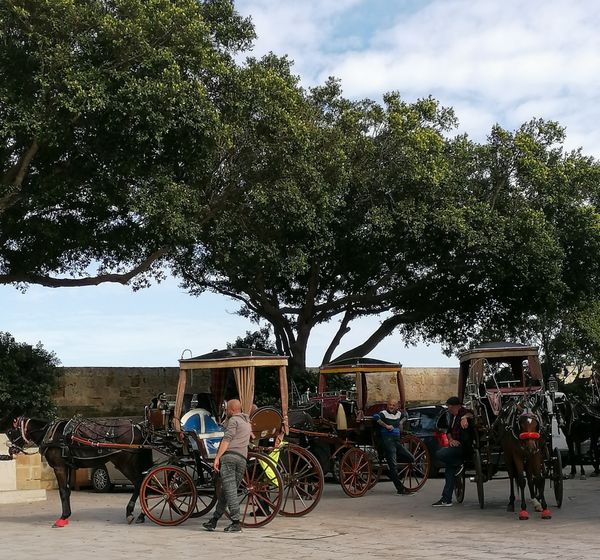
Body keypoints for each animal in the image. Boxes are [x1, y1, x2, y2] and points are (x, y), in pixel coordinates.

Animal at [7, 416, 152, 528]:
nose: (11, 450)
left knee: (139, 482)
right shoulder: (68, 466)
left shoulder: (59, 467)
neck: (50, 434)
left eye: (11, 432)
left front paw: (62, 517)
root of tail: (138, 428)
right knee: (144, 482)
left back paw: (131, 512)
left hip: (124, 462)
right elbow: (67, 491)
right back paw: (142, 514)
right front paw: (66, 516)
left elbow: (63, 491)